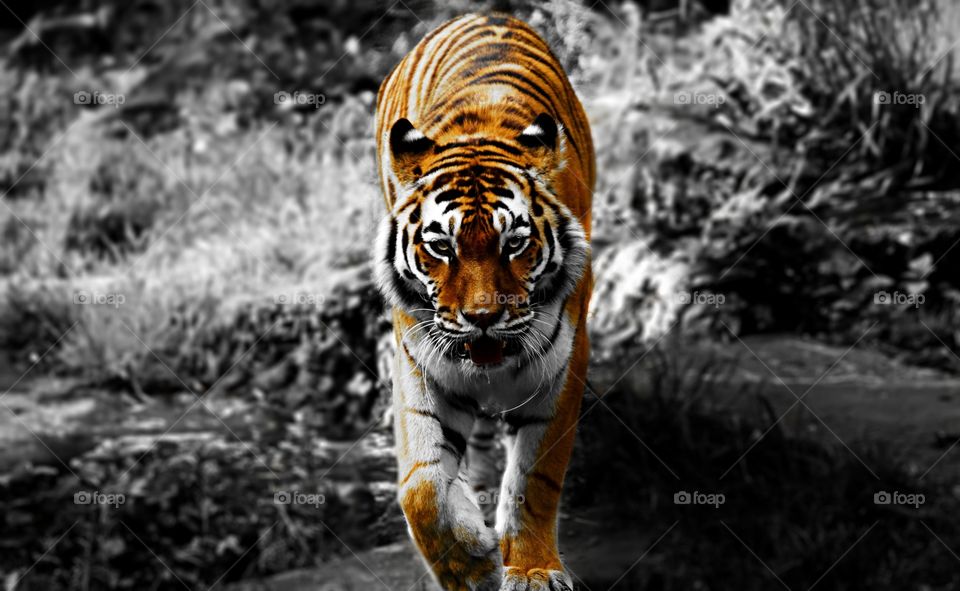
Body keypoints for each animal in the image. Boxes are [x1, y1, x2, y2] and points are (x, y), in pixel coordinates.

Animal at [374, 13, 594, 591]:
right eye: (440, 246)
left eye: (513, 243)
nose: (482, 319)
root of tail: (479, 14)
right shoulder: (418, 358)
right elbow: (422, 486)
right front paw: (470, 565)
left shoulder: (562, 365)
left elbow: (534, 479)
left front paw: (533, 569)